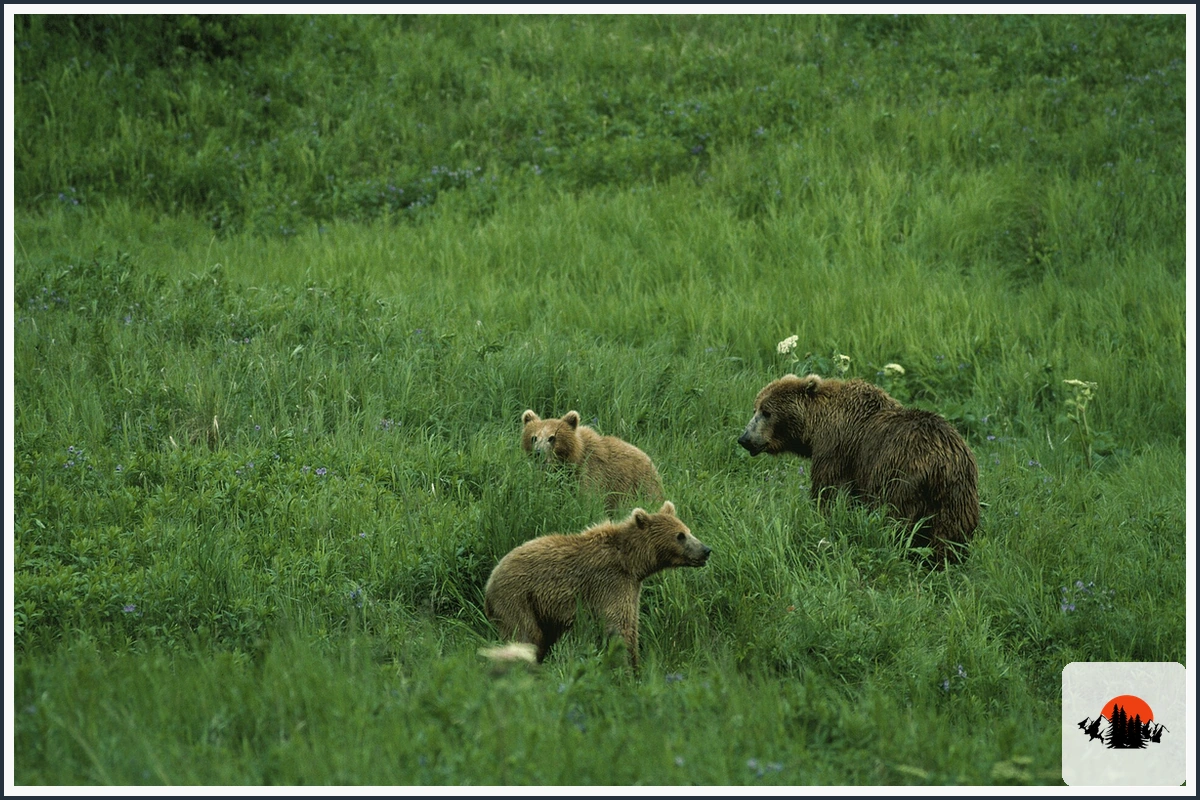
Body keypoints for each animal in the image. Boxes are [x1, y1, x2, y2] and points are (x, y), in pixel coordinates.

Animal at [483, 500, 711, 671]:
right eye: (680, 536)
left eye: (688, 530)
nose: (705, 550)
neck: (631, 562)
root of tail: (490, 580)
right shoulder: (610, 583)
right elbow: (619, 626)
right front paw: (627, 670)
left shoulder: (631, 587)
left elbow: (632, 625)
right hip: (517, 599)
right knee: (526, 637)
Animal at [521, 409, 664, 512]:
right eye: (534, 437)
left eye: (552, 438)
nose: (538, 453)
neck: (573, 457)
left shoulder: (591, 473)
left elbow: (587, 499)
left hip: (640, 487)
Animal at [737, 373, 979, 563]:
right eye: (755, 408)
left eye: (766, 412)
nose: (745, 438)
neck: (814, 427)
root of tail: (942, 462)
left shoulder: (837, 451)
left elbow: (829, 492)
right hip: (957, 495)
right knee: (951, 533)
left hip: (901, 480)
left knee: (896, 521)